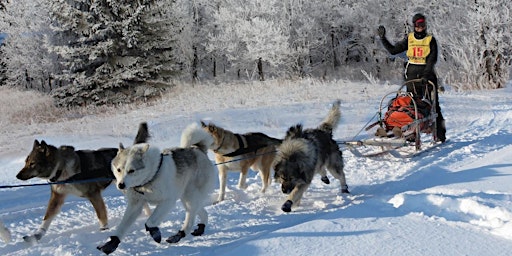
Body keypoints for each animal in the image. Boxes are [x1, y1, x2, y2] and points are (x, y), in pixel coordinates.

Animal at [16, 122, 148, 242]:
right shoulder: (57, 197)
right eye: (26, 162)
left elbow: (101, 216)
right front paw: (36, 235)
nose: (17, 176)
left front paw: (103, 231)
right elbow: (47, 218)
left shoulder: (94, 195)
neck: (62, 169)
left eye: (32, 163)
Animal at [97, 122, 217, 254]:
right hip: (187, 199)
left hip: (190, 197)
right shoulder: (135, 205)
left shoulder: (167, 201)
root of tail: (199, 149)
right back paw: (200, 228)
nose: (121, 185)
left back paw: (179, 235)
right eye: (119, 169)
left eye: (131, 171)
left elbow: (150, 222)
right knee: (201, 211)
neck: (150, 178)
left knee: (190, 218)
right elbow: (122, 227)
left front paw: (155, 233)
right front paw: (111, 243)